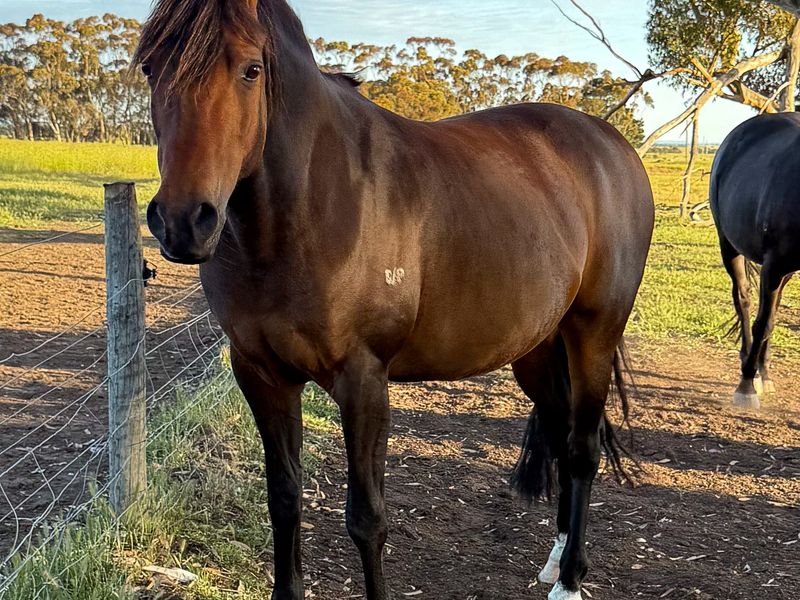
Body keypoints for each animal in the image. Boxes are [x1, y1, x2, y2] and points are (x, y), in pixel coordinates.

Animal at [133, 1, 654, 598]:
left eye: (251, 69)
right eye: (149, 68)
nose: (182, 222)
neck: (313, 203)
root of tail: (612, 146)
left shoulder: (363, 382)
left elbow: (366, 519)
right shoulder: (262, 375)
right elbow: (284, 500)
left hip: (594, 332)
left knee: (583, 448)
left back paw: (568, 579)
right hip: (538, 348)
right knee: (561, 431)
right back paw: (556, 559)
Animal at [710, 113, 799, 410]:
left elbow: (770, 320)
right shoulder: (773, 265)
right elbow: (761, 322)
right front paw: (746, 386)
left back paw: (764, 372)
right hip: (730, 247)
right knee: (744, 299)